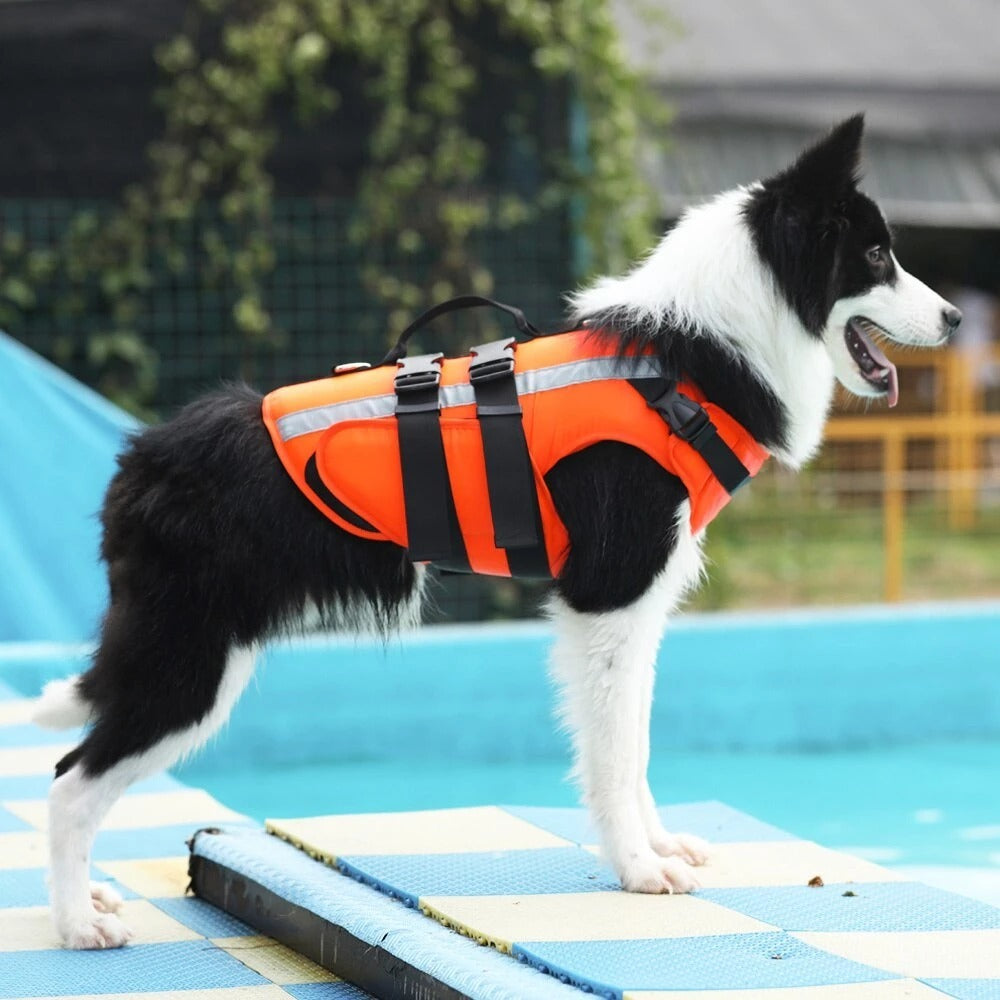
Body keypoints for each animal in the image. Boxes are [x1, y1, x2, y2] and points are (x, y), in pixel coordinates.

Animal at [35, 113, 960, 948]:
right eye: (875, 257)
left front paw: (658, 847)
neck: (687, 357)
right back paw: (79, 924)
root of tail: (140, 458)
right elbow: (612, 753)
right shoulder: (606, 599)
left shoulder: (638, 612)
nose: (955, 319)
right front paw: (638, 871)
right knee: (69, 784)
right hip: (190, 664)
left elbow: (636, 742)